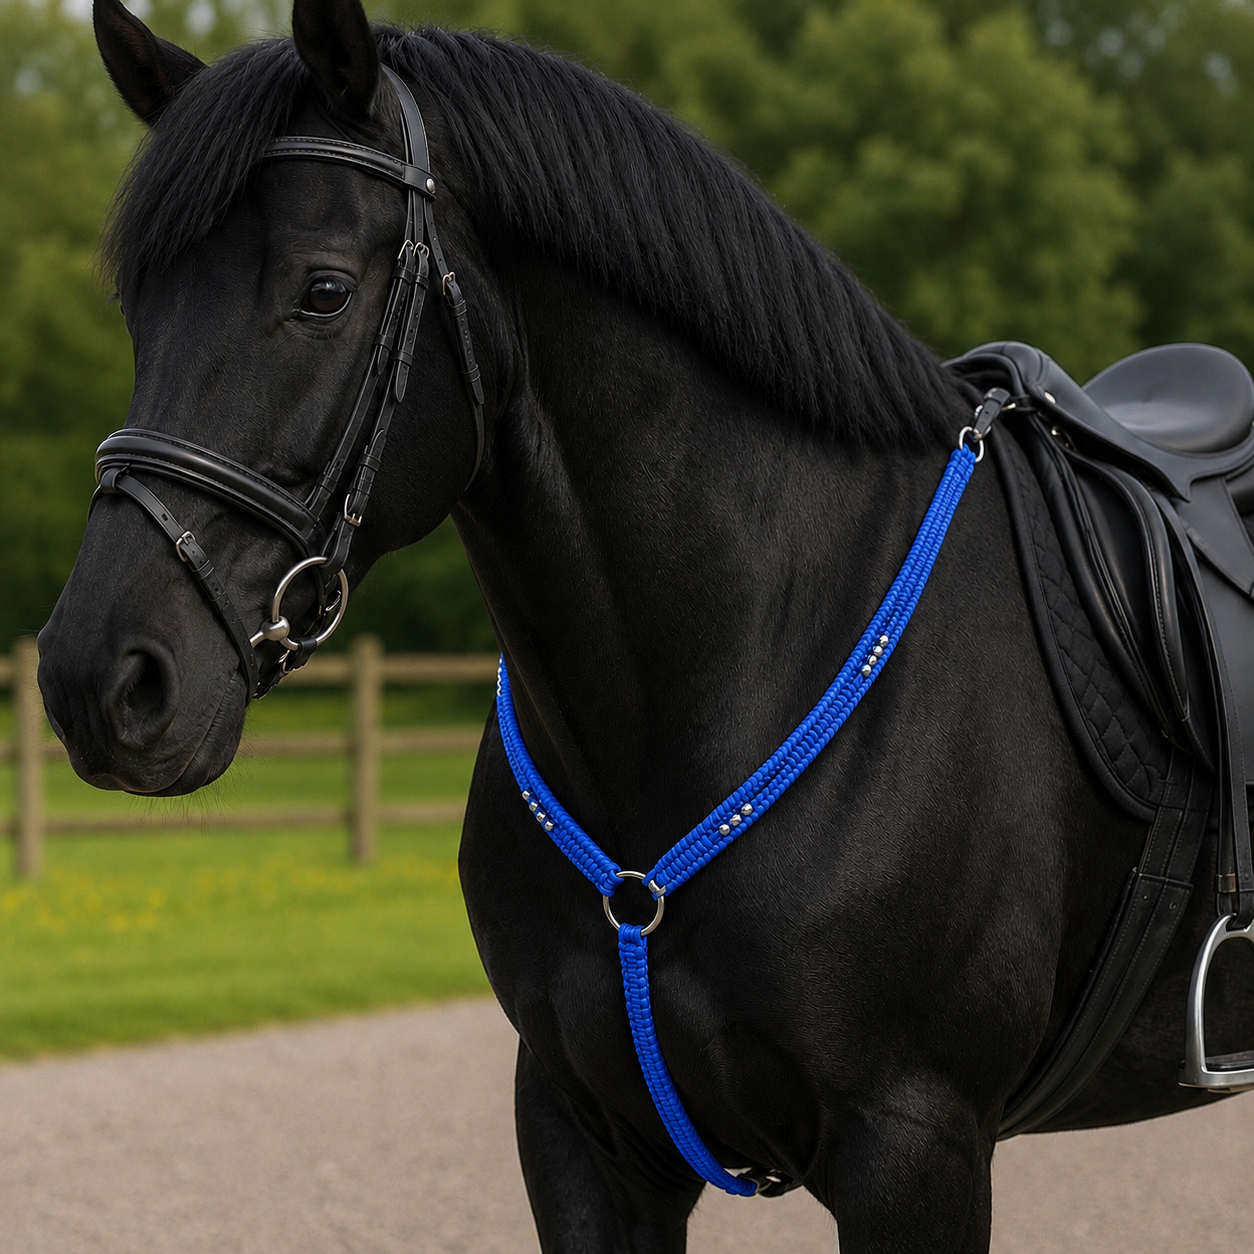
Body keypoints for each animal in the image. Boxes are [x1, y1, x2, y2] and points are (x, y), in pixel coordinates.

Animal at [36, 0, 1254, 1248]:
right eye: (139, 306)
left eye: (321, 291)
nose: (102, 679)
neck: (757, 646)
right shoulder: (583, 1133)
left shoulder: (917, 1152)